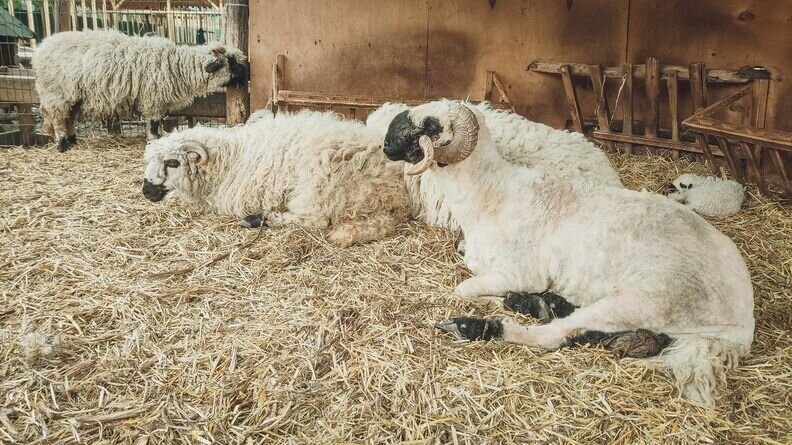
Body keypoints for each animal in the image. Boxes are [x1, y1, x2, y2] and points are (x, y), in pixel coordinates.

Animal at [32, 29, 246, 151]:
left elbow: (156, 124)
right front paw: (153, 141)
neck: (179, 66)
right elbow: (153, 125)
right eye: (232, 62)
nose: (246, 76)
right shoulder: (152, 100)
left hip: (72, 97)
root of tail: (40, 49)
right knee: (58, 120)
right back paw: (62, 145)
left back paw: (72, 140)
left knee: (68, 118)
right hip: (56, 94)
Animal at [143, 107, 412, 246]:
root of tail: (394, 192)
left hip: (320, 187)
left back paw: (258, 219)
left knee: (314, 220)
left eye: (172, 162)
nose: (146, 190)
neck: (230, 157)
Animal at [384, 100, 756, 406]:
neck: (492, 195)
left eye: (431, 126)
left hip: (645, 298)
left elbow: (463, 288)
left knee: (553, 336)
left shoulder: (521, 272)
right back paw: (540, 305)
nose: (386, 143)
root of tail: (742, 320)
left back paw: (477, 324)